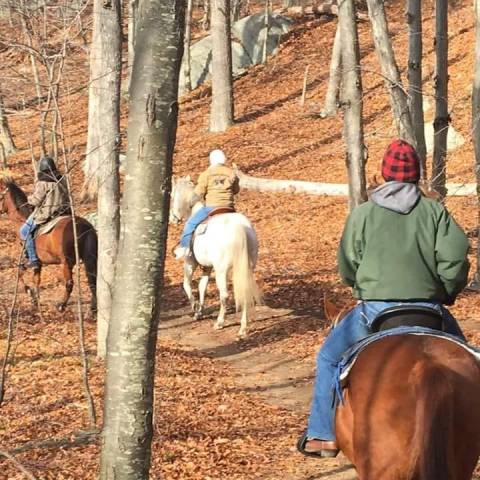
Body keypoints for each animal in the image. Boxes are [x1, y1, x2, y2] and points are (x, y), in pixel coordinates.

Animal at [0, 178, 97, 314]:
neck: (22, 220)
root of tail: (85, 226)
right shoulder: (38, 263)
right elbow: (36, 279)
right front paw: (35, 299)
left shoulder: (26, 260)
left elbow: (19, 273)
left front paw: (30, 293)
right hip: (89, 259)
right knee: (93, 280)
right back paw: (93, 308)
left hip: (67, 263)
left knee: (69, 283)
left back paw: (61, 305)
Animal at [171, 176, 262, 338]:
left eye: (172, 196)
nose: (172, 219)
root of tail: (240, 228)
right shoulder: (207, 267)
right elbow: (202, 287)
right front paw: (199, 311)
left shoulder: (190, 263)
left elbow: (187, 285)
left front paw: (195, 307)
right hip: (246, 268)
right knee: (244, 292)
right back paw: (243, 329)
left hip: (221, 270)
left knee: (224, 295)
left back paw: (220, 322)